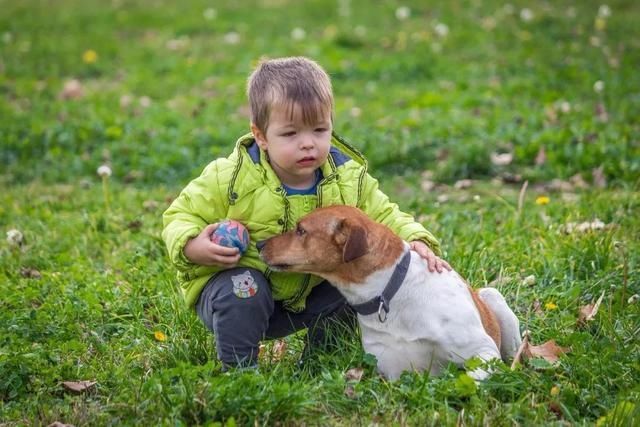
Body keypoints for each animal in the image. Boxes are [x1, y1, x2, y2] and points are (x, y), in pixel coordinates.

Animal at [255, 206, 520, 382]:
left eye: (300, 230)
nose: (258, 244)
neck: (390, 295)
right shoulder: (391, 370)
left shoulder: (483, 351)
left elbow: (472, 377)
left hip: (495, 300)